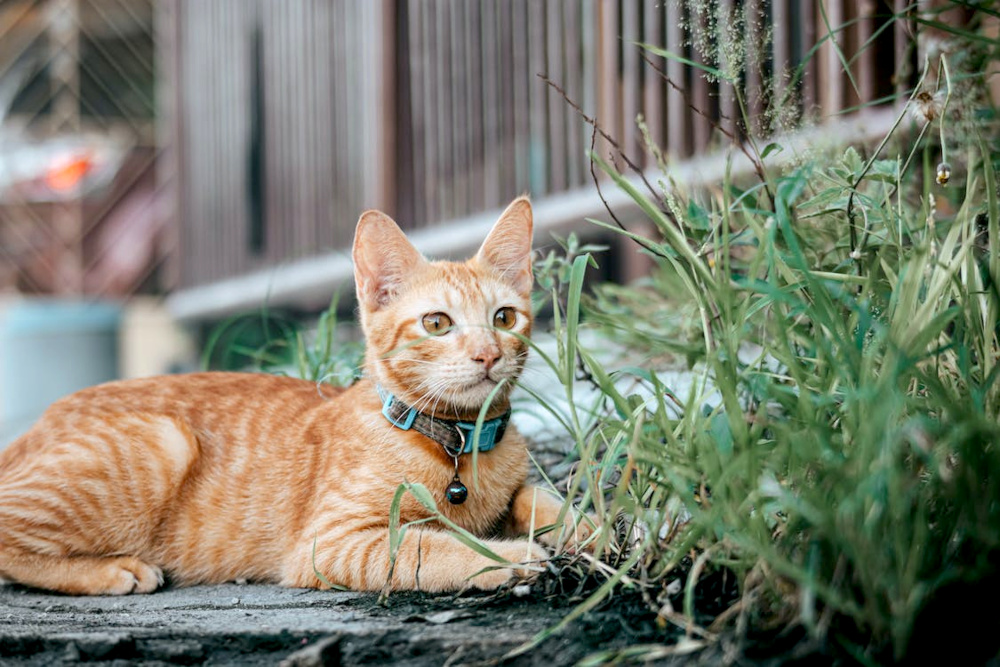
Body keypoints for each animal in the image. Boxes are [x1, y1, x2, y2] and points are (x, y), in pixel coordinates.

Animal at [0, 197, 588, 596]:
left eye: (504, 318)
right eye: (437, 323)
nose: (487, 355)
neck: (460, 441)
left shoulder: (515, 489)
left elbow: (541, 499)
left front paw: (594, 529)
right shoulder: (330, 543)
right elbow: (436, 543)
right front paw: (510, 555)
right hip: (163, 440)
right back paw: (112, 568)